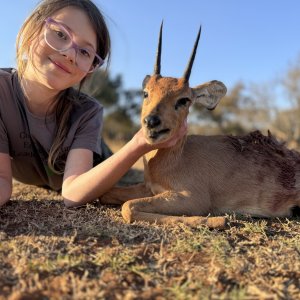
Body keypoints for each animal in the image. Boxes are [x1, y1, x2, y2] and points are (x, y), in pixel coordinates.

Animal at [100, 24, 300, 230]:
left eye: (184, 99)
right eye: (146, 93)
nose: (152, 122)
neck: (175, 158)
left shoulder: (192, 198)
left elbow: (128, 207)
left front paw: (217, 220)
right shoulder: (149, 188)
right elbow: (106, 194)